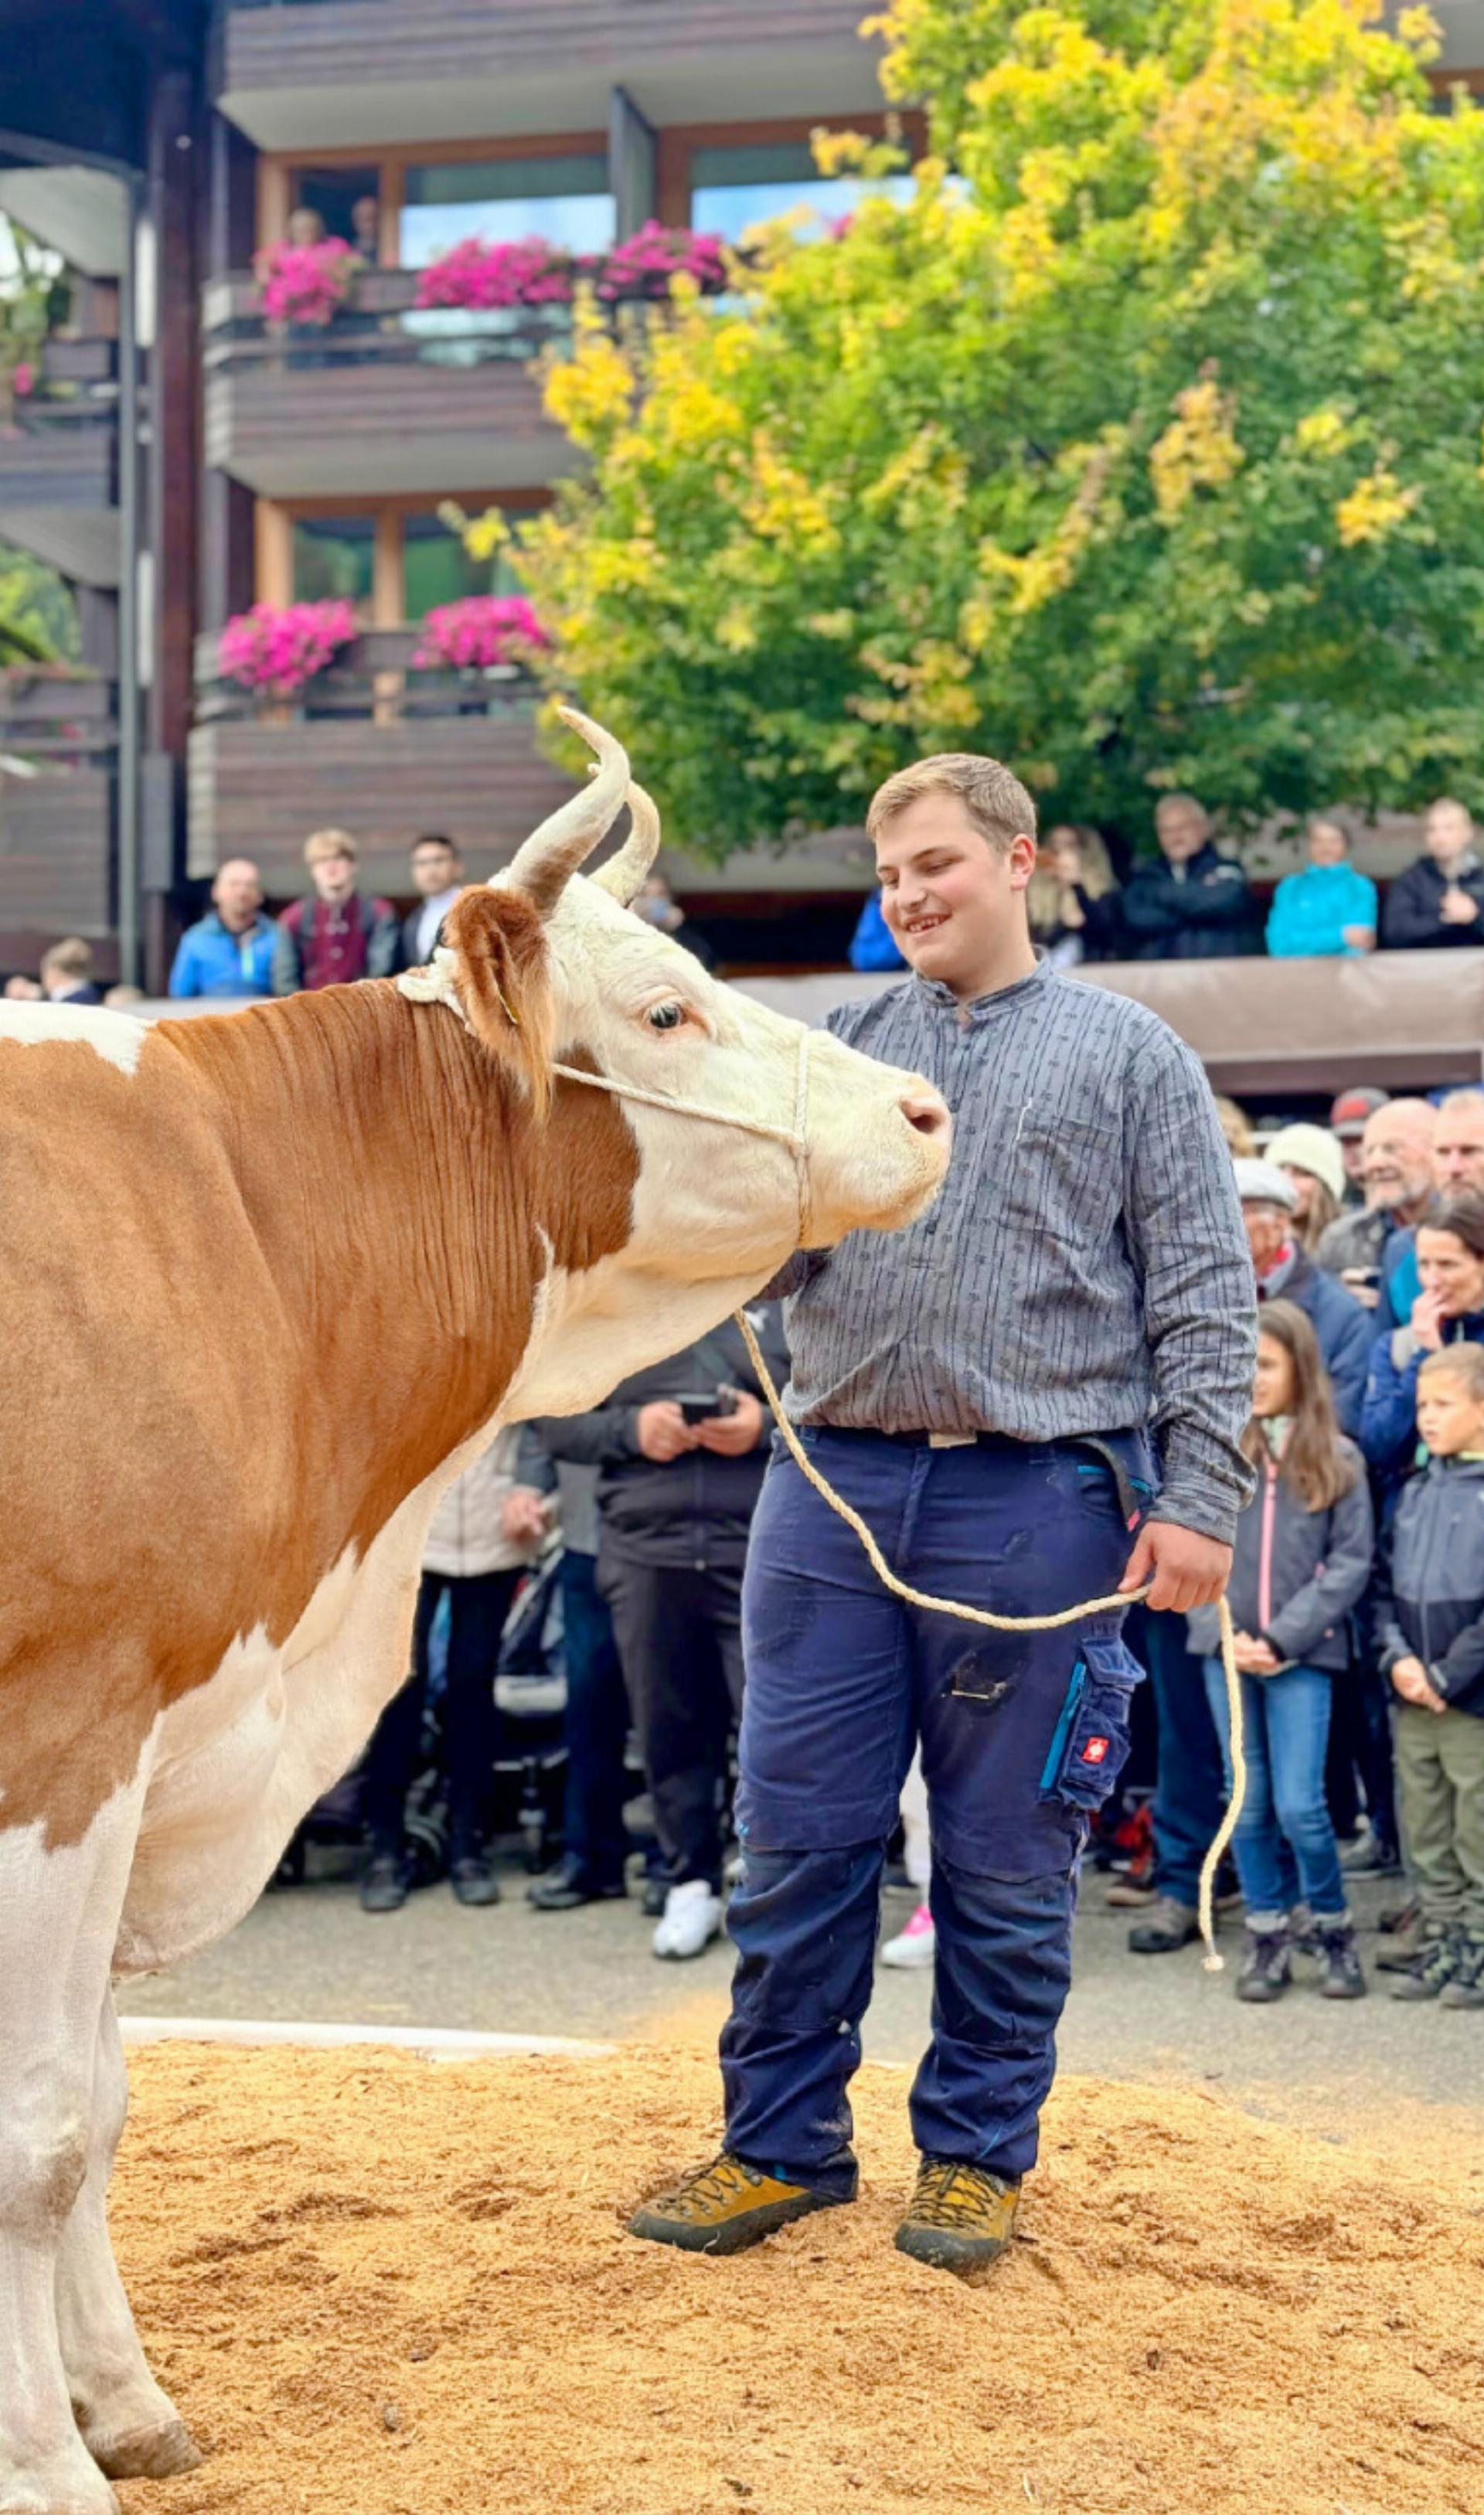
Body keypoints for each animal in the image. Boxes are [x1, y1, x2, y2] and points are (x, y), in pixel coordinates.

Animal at [0, 709, 955, 2515]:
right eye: (665, 1008)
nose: (929, 1109)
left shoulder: (153, 1730)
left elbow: (97, 2099)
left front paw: (125, 2405)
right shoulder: (58, 1735)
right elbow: (36, 2129)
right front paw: (41, 2466)